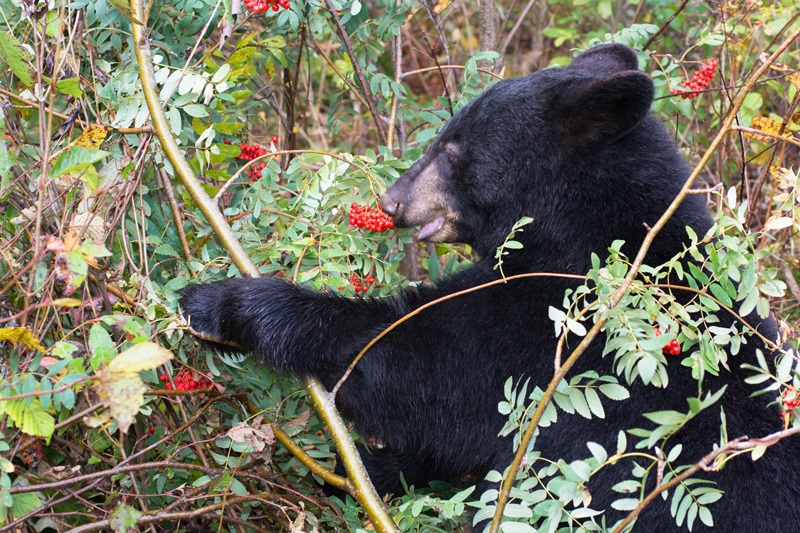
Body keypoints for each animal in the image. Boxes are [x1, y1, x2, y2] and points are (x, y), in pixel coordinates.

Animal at [181, 43, 800, 528]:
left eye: (452, 151)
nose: (392, 201)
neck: (590, 231)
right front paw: (364, 469)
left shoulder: (552, 329)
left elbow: (417, 370)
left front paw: (221, 302)